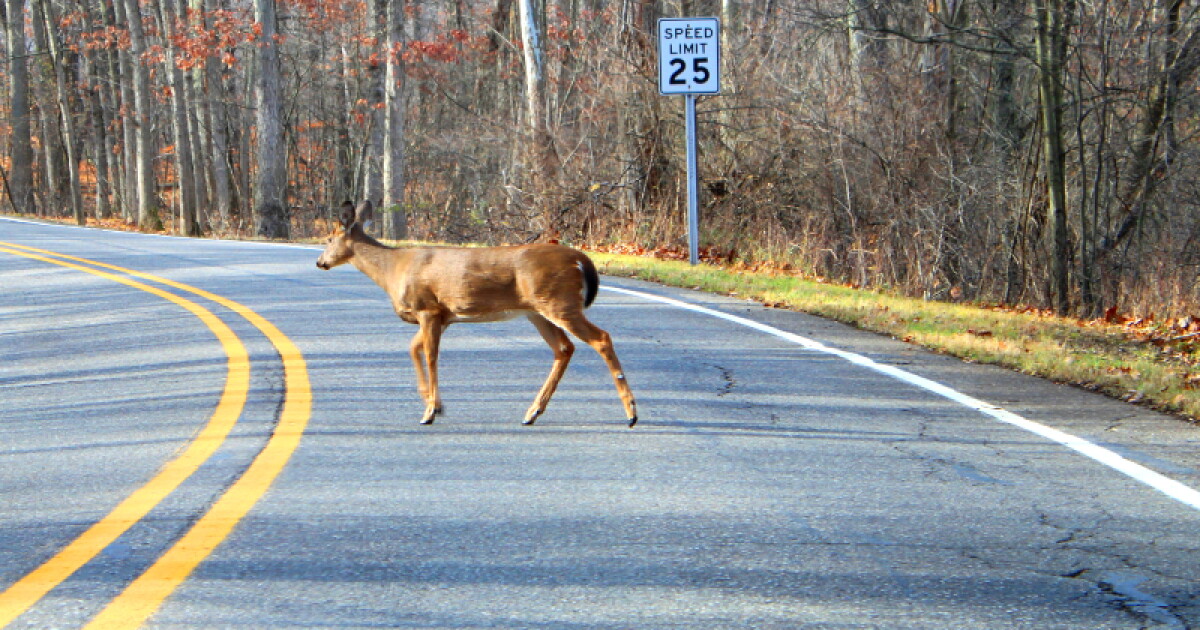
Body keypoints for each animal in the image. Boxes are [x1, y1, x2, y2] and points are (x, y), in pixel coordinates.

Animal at [316, 200, 638, 427]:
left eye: (329, 239)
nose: (320, 262)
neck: (392, 270)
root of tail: (581, 259)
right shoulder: (443, 316)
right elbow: (413, 349)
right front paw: (433, 403)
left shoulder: (428, 308)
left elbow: (430, 356)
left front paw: (430, 411)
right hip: (537, 311)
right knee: (564, 348)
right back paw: (532, 412)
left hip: (560, 302)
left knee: (601, 338)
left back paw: (631, 413)